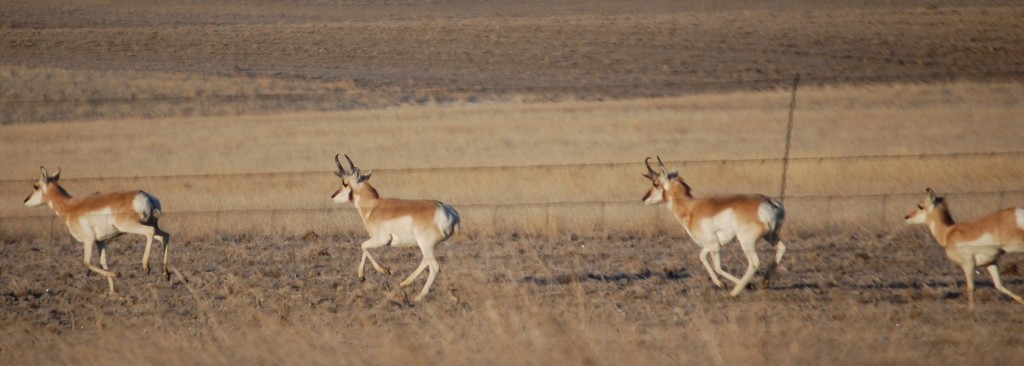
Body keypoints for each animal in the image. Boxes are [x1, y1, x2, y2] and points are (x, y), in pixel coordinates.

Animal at [22, 167, 169, 293]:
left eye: (36, 186)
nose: (25, 201)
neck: (70, 207)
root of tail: (145, 196)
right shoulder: (100, 241)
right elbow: (103, 262)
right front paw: (113, 290)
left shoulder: (88, 240)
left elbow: (86, 262)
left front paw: (117, 273)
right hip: (150, 227)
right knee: (165, 235)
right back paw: (166, 273)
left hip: (132, 227)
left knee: (150, 232)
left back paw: (146, 266)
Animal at [329, 152, 458, 301]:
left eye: (345, 183)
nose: (332, 196)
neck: (374, 206)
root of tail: (448, 210)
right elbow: (363, 247)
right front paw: (362, 277)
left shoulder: (381, 240)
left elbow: (362, 245)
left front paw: (383, 271)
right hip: (427, 246)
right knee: (425, 261)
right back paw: (404, 283)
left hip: (426, 245)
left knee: (434, 266)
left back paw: (418, 297)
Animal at [643, 155, 786, 295]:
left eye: (655, 183)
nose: (644, 199)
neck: (691, 209)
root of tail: (770, 203)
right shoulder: (711, 244)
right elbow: (702, 257)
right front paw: (721, 283)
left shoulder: (714, 244)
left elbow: (717, 267)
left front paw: (748, 285)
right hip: (770, 236)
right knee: (781, 248)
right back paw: (765, 281)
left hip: (746, 241)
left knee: (754, 263)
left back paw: (734, 292)